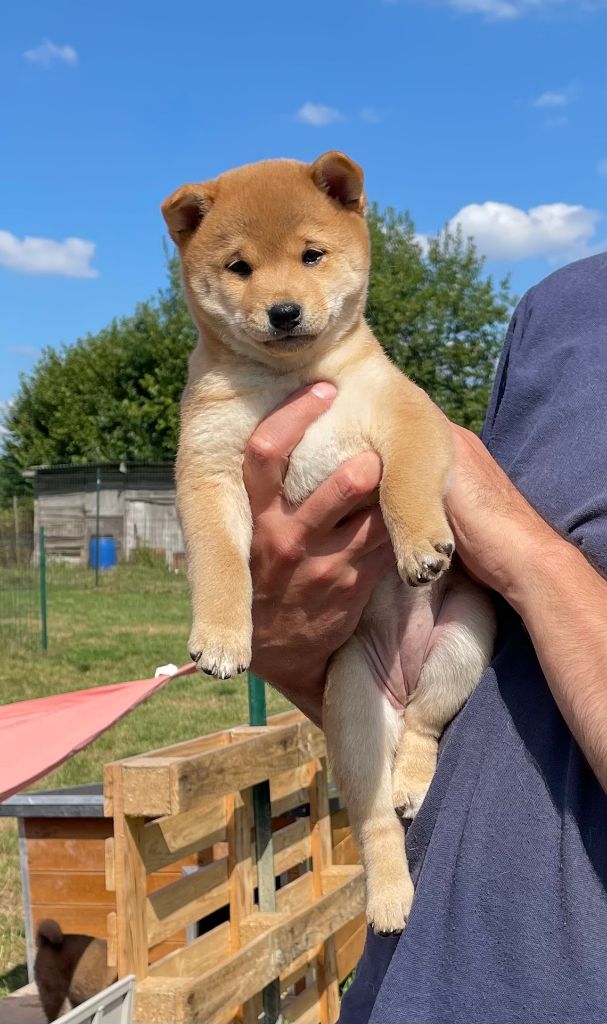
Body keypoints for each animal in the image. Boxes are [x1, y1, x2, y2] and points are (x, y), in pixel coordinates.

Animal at [162, 151, 495, 933]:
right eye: (240, 267)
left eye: (311, 255)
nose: (283, 311)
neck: (293, 381)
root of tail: (400, 683)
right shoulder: (208, 469)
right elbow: (221, 564)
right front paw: (221, 636)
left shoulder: (407, 417)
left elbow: (406, 484)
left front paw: (417, 544)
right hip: (351, 707)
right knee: (372, 822)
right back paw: (390, 897)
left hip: (465, 642)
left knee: (425, 730)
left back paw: (411, 785)